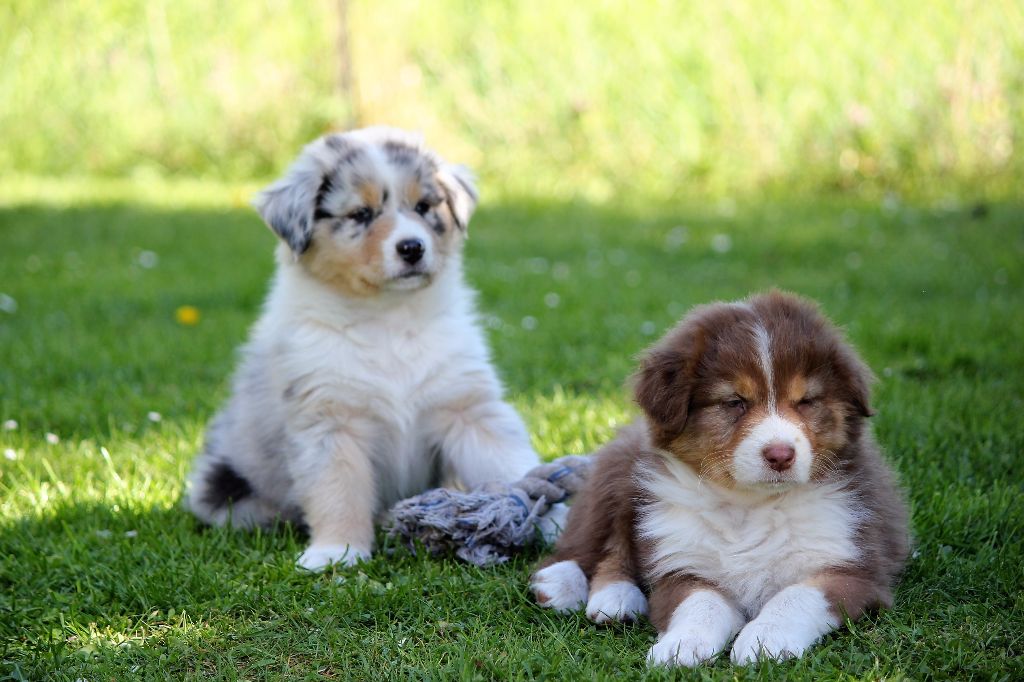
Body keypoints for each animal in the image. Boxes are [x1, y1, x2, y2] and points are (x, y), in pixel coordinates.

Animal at [186, 127, 540, 571]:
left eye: (424, 207)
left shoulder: (467, 407)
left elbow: (512, 462)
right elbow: (338, 491)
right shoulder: (329, 420)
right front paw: (336, 551)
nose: (412, 247)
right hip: (223, 483)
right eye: (360, 214)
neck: (389, 318)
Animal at [530, 291, 909, 666]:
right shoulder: (681, 566)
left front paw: (764, 639)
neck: (750, 505)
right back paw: (587, 589)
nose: (781, 455)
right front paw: (681, 645)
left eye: (806, 401)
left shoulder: (854, 567)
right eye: (734, 402)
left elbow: (797, 595)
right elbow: (701, 603)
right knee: (593, 543)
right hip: (618, 474)